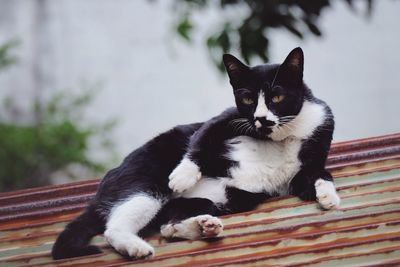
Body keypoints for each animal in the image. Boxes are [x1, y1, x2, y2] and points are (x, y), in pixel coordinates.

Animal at [51, 47, 340, 260]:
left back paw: (203, 227)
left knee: (167, 225)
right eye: (247, 99)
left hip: (220, 200)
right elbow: (200, 138)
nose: (261, 118)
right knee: (115, 226)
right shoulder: (224, 119)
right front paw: (183, 175)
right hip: (146, 181)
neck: (278, 138)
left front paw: (328, 196)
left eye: (277, 97)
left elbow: (319, 174)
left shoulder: (308, 159)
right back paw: (137, 247)